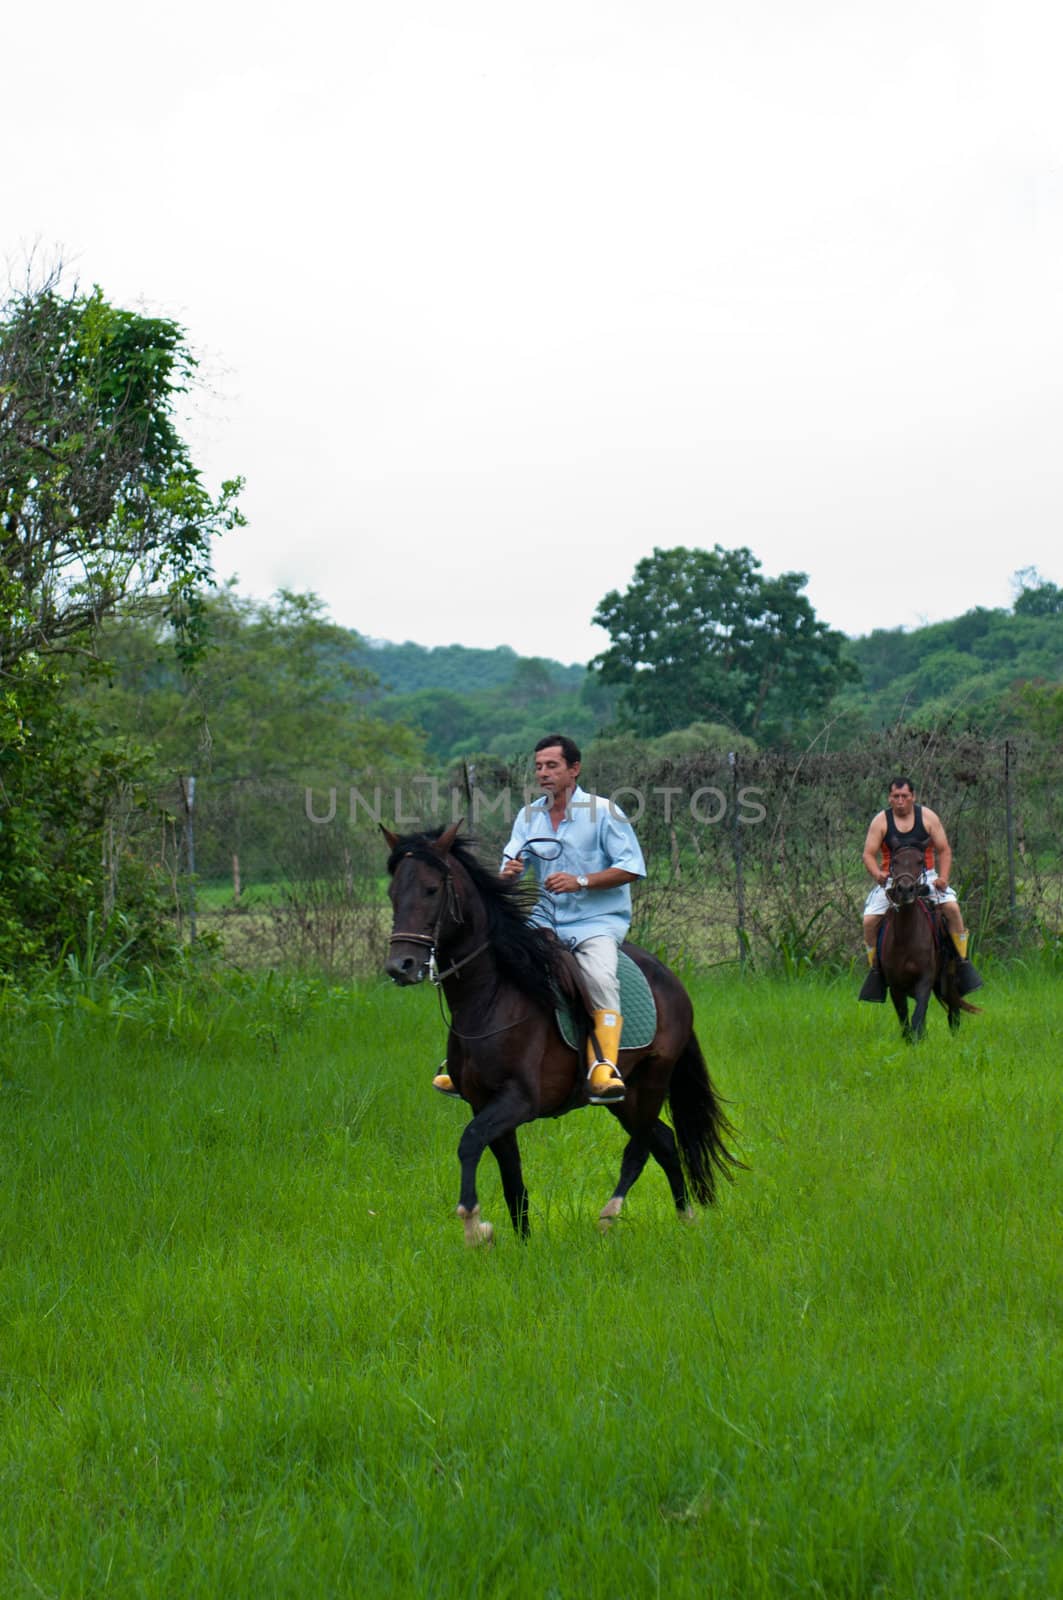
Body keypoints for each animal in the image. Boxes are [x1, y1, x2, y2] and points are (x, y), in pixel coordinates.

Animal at [382, 825, 739, 1248]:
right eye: (392, 893)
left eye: (432, 889)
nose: (400, 966)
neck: (492, 998)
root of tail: (672, 981)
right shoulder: (484, 1102)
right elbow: (512, 1179)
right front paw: (522, 1243)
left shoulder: (519, 1100)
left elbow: (469, 1142)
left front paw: (473, 1224)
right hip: (625, 1095)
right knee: (664, 1142)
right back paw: (686, 1218)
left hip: (653, 1079)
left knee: (640, 1148)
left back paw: (609, 1216)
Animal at [877, 844, 979, 1043]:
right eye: (894, 861)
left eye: (920, 861)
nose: (905, 889)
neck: (905, 937)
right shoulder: (895, 986)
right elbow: (904, 1018)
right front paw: (912, 1041)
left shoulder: (925, 979)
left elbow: (918, 1015)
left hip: (948, 980)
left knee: (954, 1011)